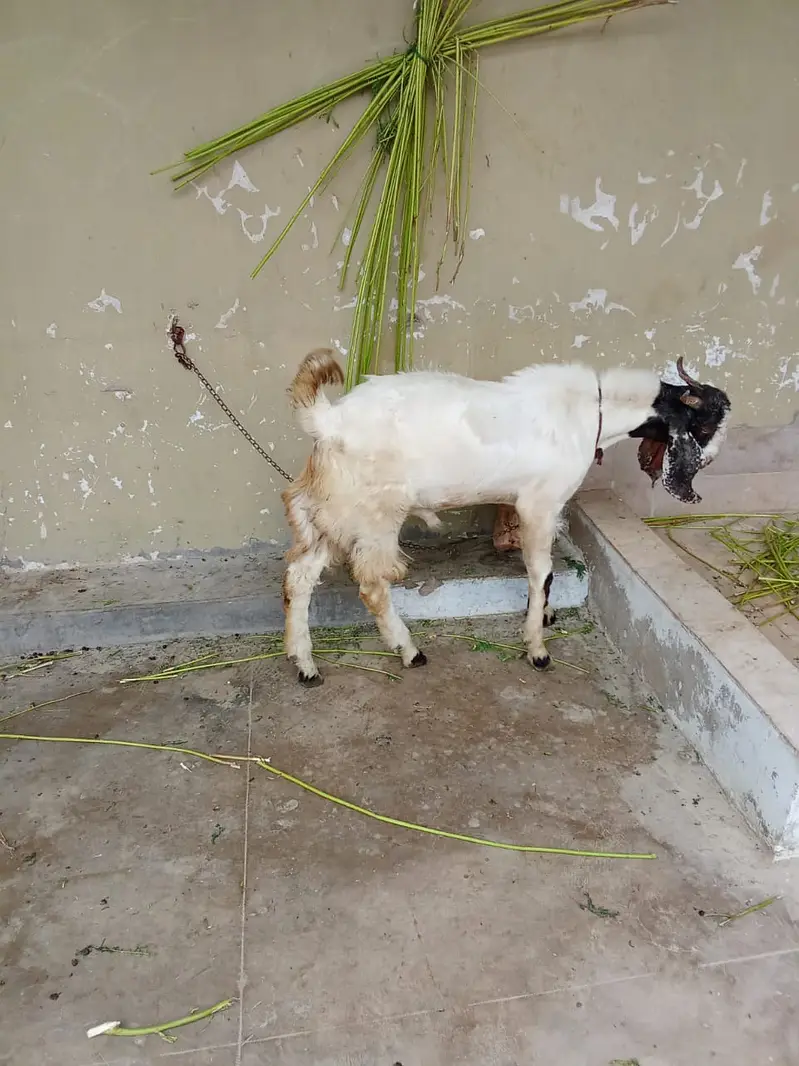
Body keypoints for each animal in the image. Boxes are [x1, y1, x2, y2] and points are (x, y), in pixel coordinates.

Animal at [281, 350, 730, 685]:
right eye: (705, 425)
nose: (697, 486)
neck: (587, 413)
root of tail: (327, 421)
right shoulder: (540, 503)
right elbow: (541, 571)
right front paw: (537, 649)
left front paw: (545, 615)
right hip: (374, 513)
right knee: (372, 585)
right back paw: (409, 650)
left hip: (328, 513)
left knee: (299, 578)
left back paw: (305, 665)